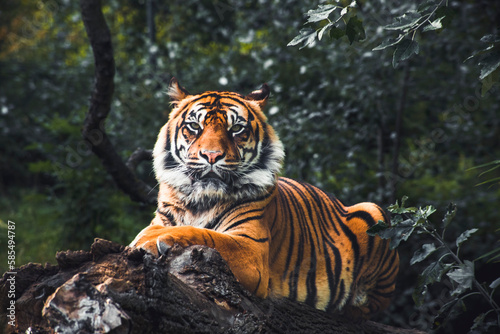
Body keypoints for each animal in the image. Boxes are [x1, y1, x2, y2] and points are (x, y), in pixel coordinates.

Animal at [129, 79, 398, 318]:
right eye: (195, 126)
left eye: (236, 129)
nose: (212, 155)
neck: (201, 200)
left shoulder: (251, 249)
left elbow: (206, 235)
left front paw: (153, 241)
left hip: (374, 213)